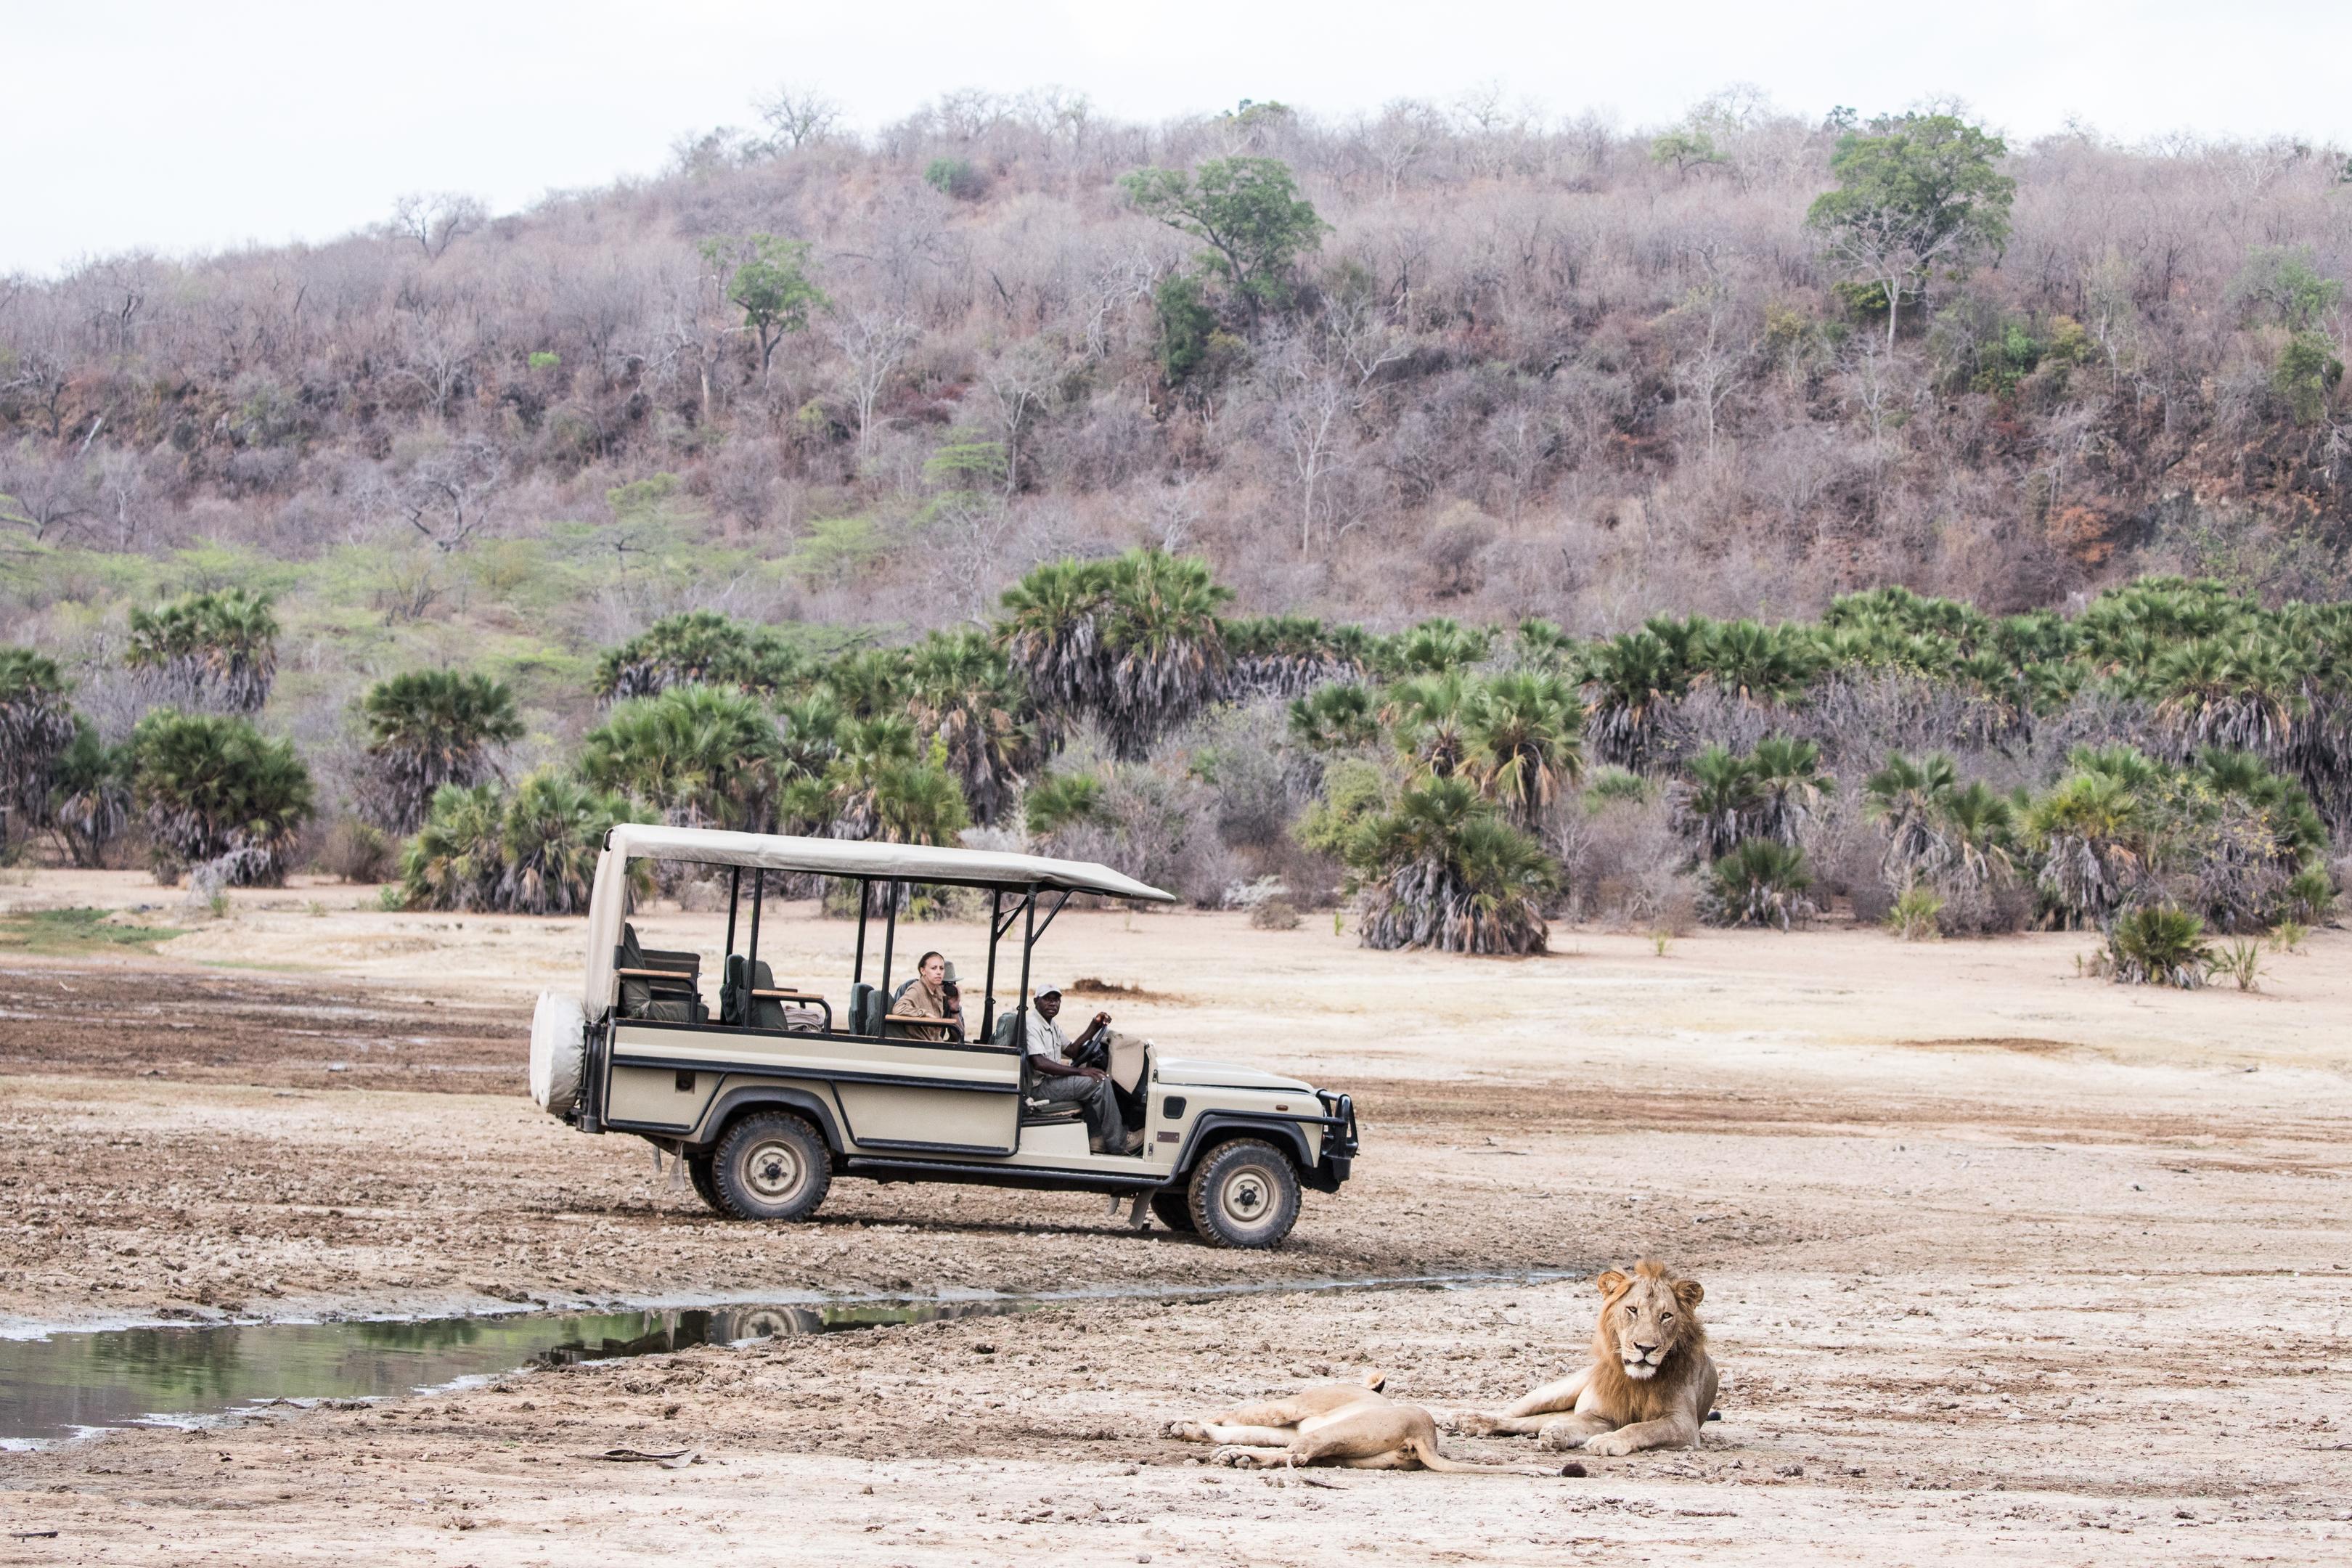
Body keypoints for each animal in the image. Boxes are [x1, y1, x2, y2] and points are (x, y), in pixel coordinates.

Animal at [1167, 1371, 1556, 1474]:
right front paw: (1188, 1428)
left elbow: (1243, 1413)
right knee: (1298, 1455)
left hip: (1337, 1431)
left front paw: (1187, 1423)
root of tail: (1426, 1436)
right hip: (1349, 1454)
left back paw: (1237, 1457)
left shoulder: (1292, 1407)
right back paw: (1238, 1455)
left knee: (1298, 1454)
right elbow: (1245, 1428)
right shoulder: (1292, 1423)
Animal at [1452, 1260, 1719, 1456]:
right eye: (1632, 1310)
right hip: (1554, 1393)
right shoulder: (1602, 1416)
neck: (1637, 1381)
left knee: (1539, 1421)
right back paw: (1470, 1420)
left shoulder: (1683, 1424)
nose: (1645, 1348)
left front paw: (1605, 1441)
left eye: (1666, 1316)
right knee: (1514, 1416)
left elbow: (1642, 1428)